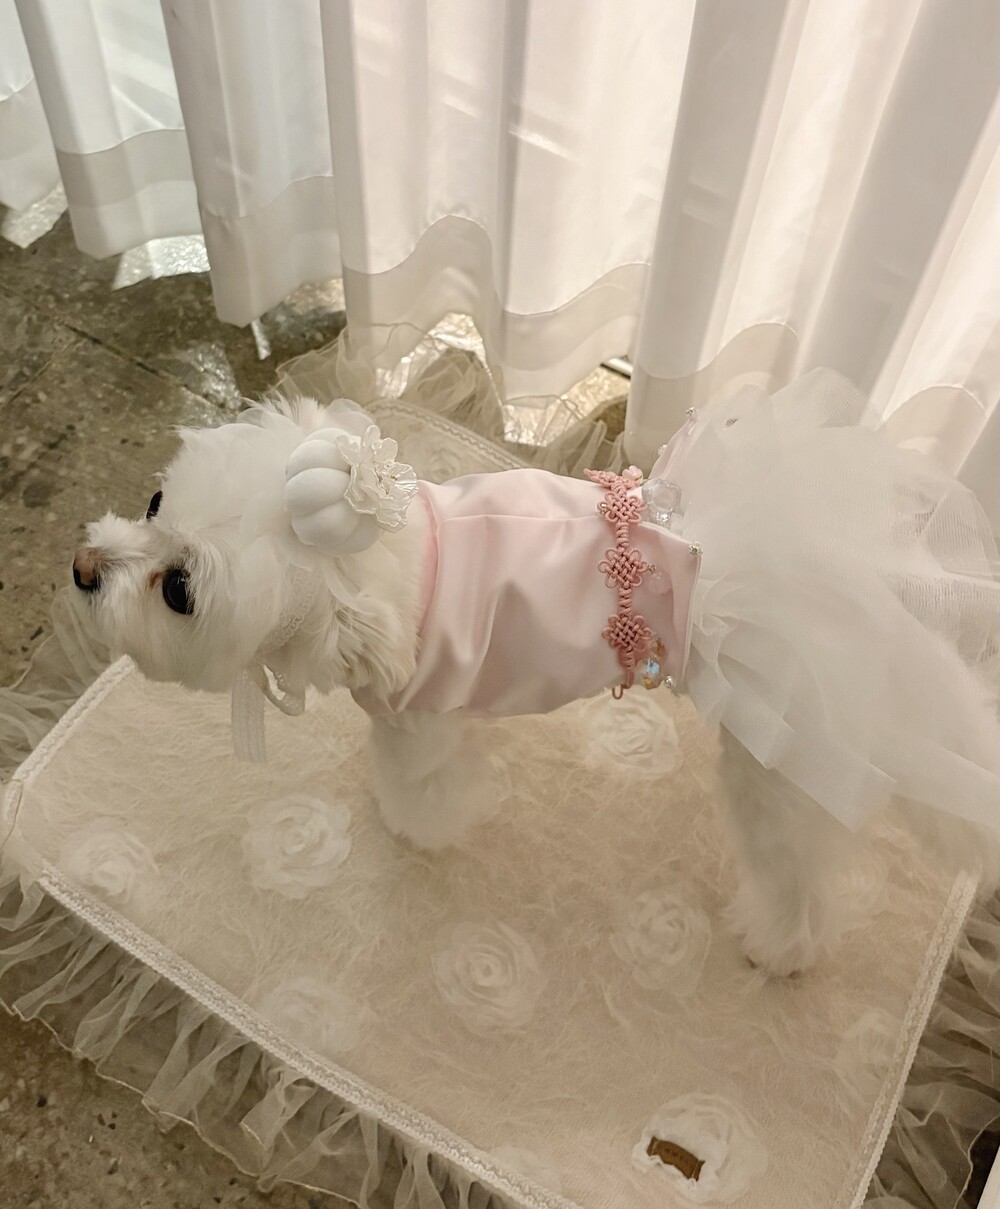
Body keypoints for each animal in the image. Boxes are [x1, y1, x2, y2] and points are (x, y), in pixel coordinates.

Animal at [73, 387, 1000, 978]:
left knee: (798, 878)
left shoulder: (419, 724)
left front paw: (416, 829)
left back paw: (779, 949)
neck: (391, 565)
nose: (81, 568)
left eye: (179, 590)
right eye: (153, 502)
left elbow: (422, 792)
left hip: (773, 770)